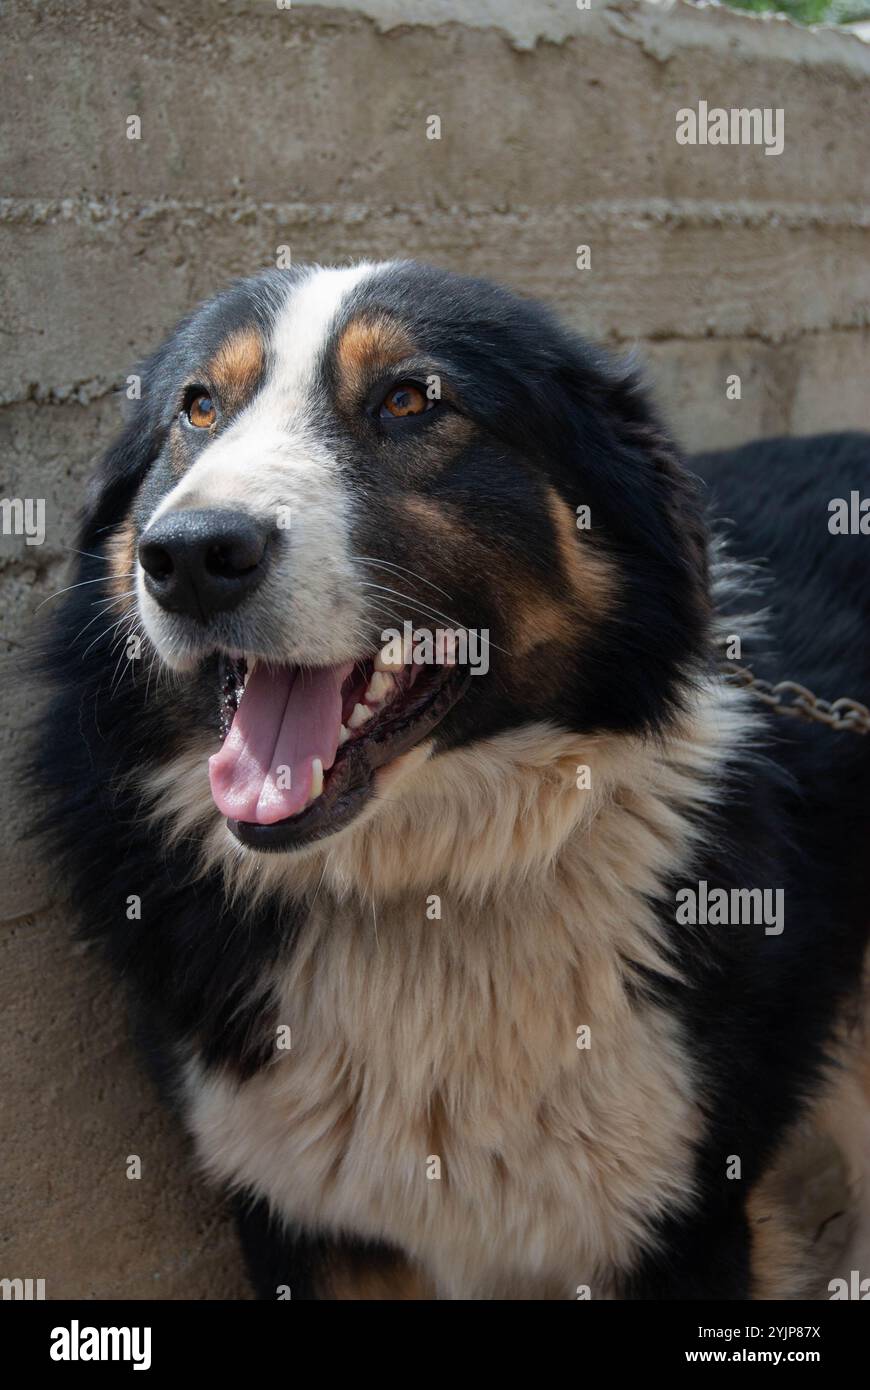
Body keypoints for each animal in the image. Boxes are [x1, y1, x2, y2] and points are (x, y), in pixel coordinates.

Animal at [28, 262, 867, 1301]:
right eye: (198, 407)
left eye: (409, 400)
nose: (189, 556)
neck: (421, 893)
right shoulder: (300, 1218)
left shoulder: (686, 1218)